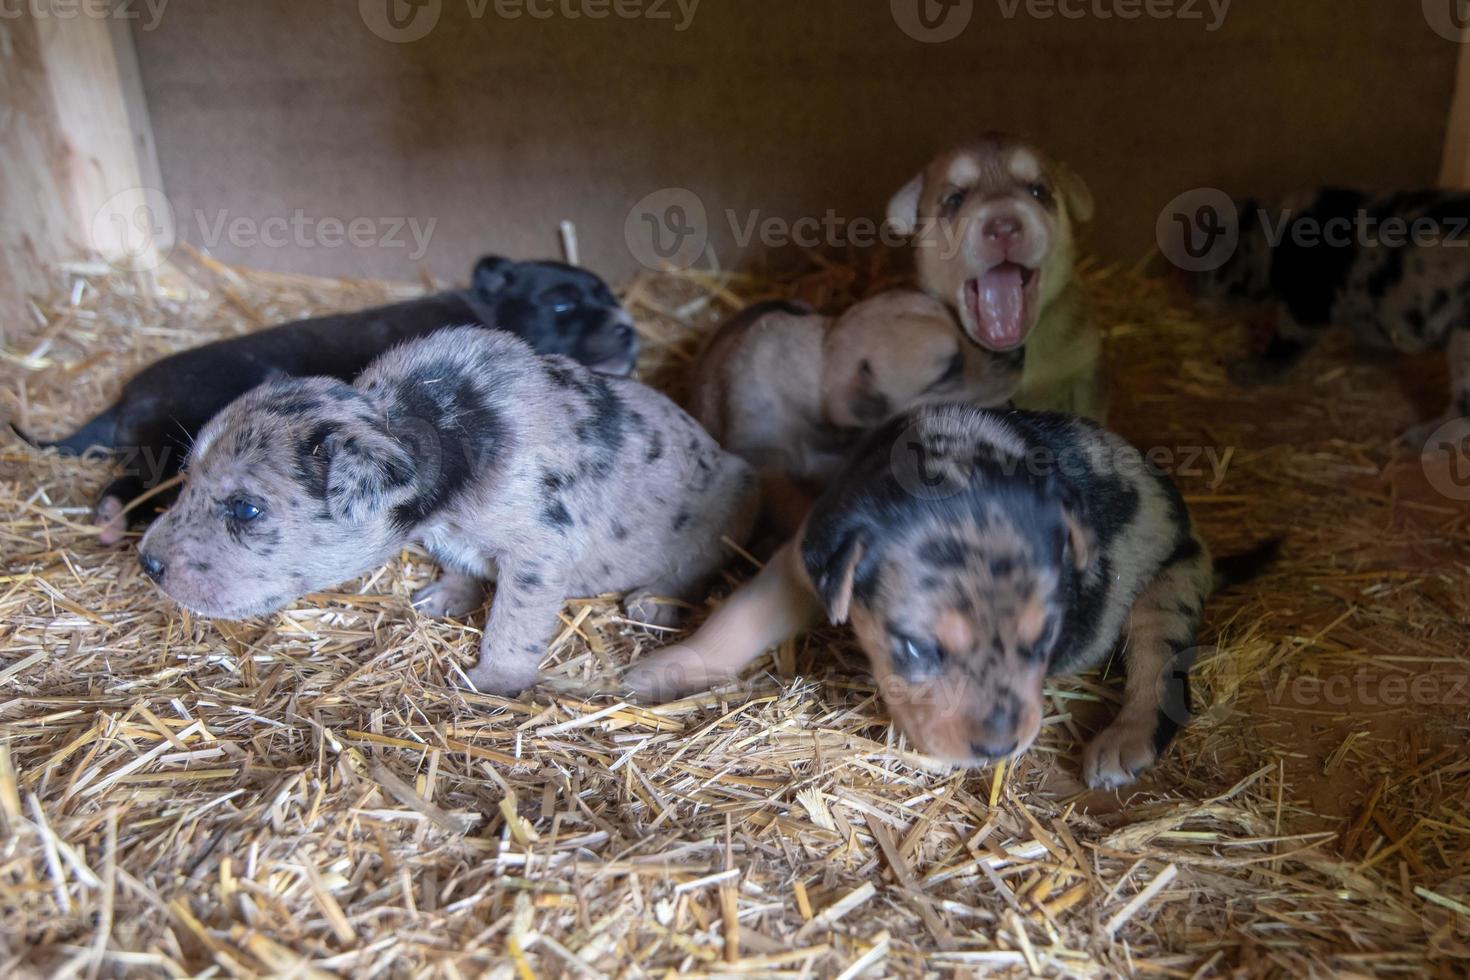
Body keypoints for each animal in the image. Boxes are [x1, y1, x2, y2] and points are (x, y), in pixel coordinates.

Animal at [11, 252, 635, 543]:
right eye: (560, 304)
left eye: (611, 297)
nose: (629, 329)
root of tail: (122, 399)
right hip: (171, 442)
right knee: (132, 486)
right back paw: (111, 522)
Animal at [135, 326, 758, 693]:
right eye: (187, 476)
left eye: (246, 509)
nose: (147, 563)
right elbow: (459, 567)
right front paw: (438, 600)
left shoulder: (541, 551)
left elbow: (512, 623)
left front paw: (488, 682)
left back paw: (651, 602)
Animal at [626, 402, 1270, 793]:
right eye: (916, 650)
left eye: (1044, 639)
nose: (1000, 746)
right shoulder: (804, 561)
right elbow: (738, 618)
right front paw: (664, 668)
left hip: (1169, 586)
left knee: (1160, 673)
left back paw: (1123, 743)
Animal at [1176, 186, 1470, 443]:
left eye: (1207, 253)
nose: (1191, 289)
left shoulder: (1307, 305)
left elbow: (1285, 344)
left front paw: (1246, 373)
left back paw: (1418, 439)